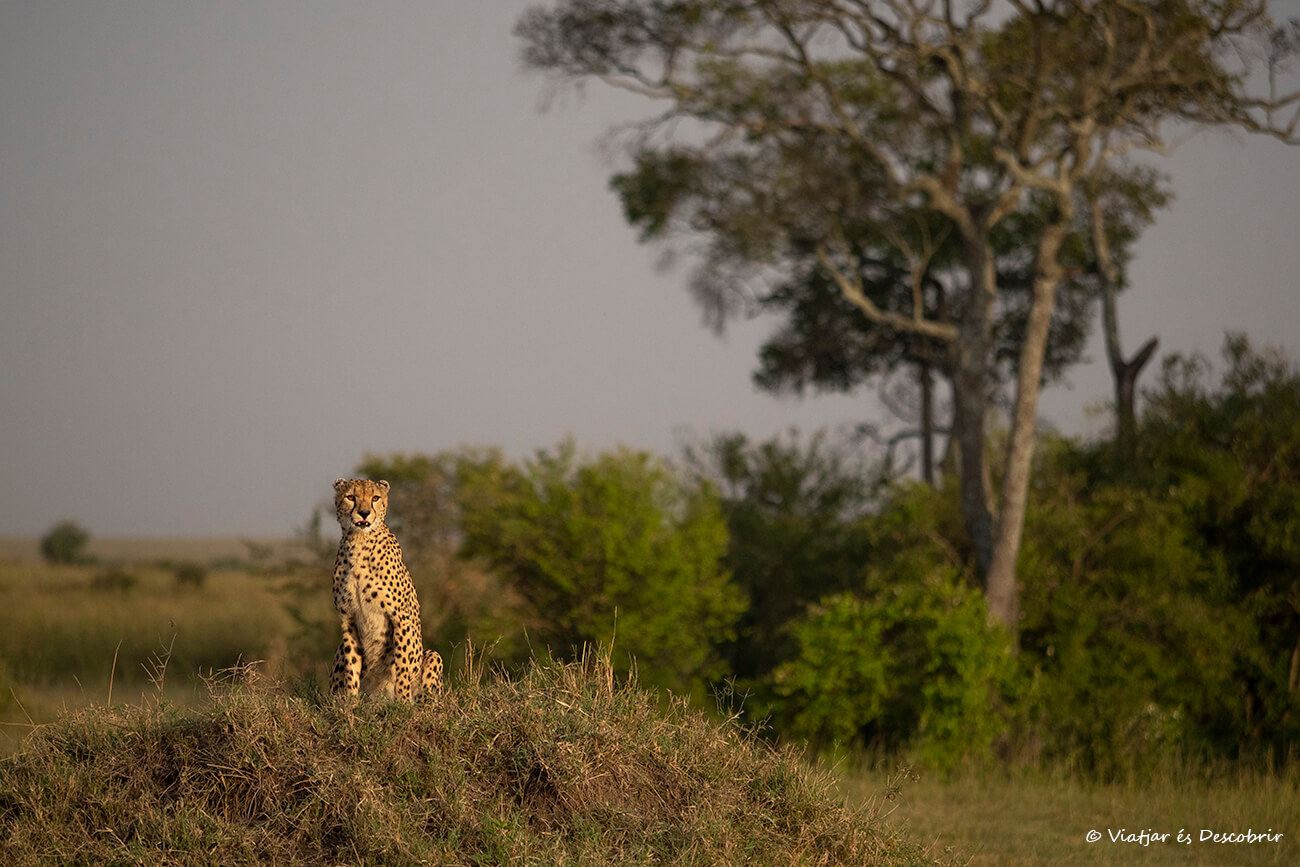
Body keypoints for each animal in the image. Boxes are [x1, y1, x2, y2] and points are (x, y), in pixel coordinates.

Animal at [329, 478, 443, 701]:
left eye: (375, 498)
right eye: (351, 497)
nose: (364, 513)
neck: (360, 541)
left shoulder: (400, 617)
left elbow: (402, 665)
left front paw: (403, 702)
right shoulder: (348, 618)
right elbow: (351, 667)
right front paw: (350, 704)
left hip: (433, 657)